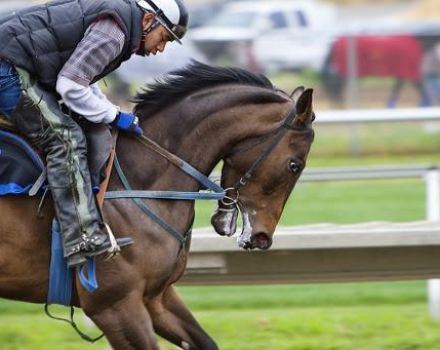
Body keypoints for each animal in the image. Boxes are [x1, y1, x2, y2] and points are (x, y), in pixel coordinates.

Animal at [0, 61, 316, 348]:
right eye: (294, 165)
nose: (262, 237)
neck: (139, 179)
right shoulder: (114, 306)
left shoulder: (156, 296)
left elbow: (205, 342)